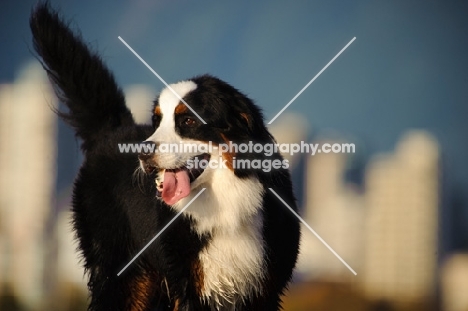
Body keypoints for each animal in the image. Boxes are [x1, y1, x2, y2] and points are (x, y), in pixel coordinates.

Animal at [30, 3, 300, 311]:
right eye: (157, 121)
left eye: (188, 121)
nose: (143, 152)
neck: (226, 202)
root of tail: (114, 128)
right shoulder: (189, 287)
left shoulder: (264, 290)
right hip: (123, 277)